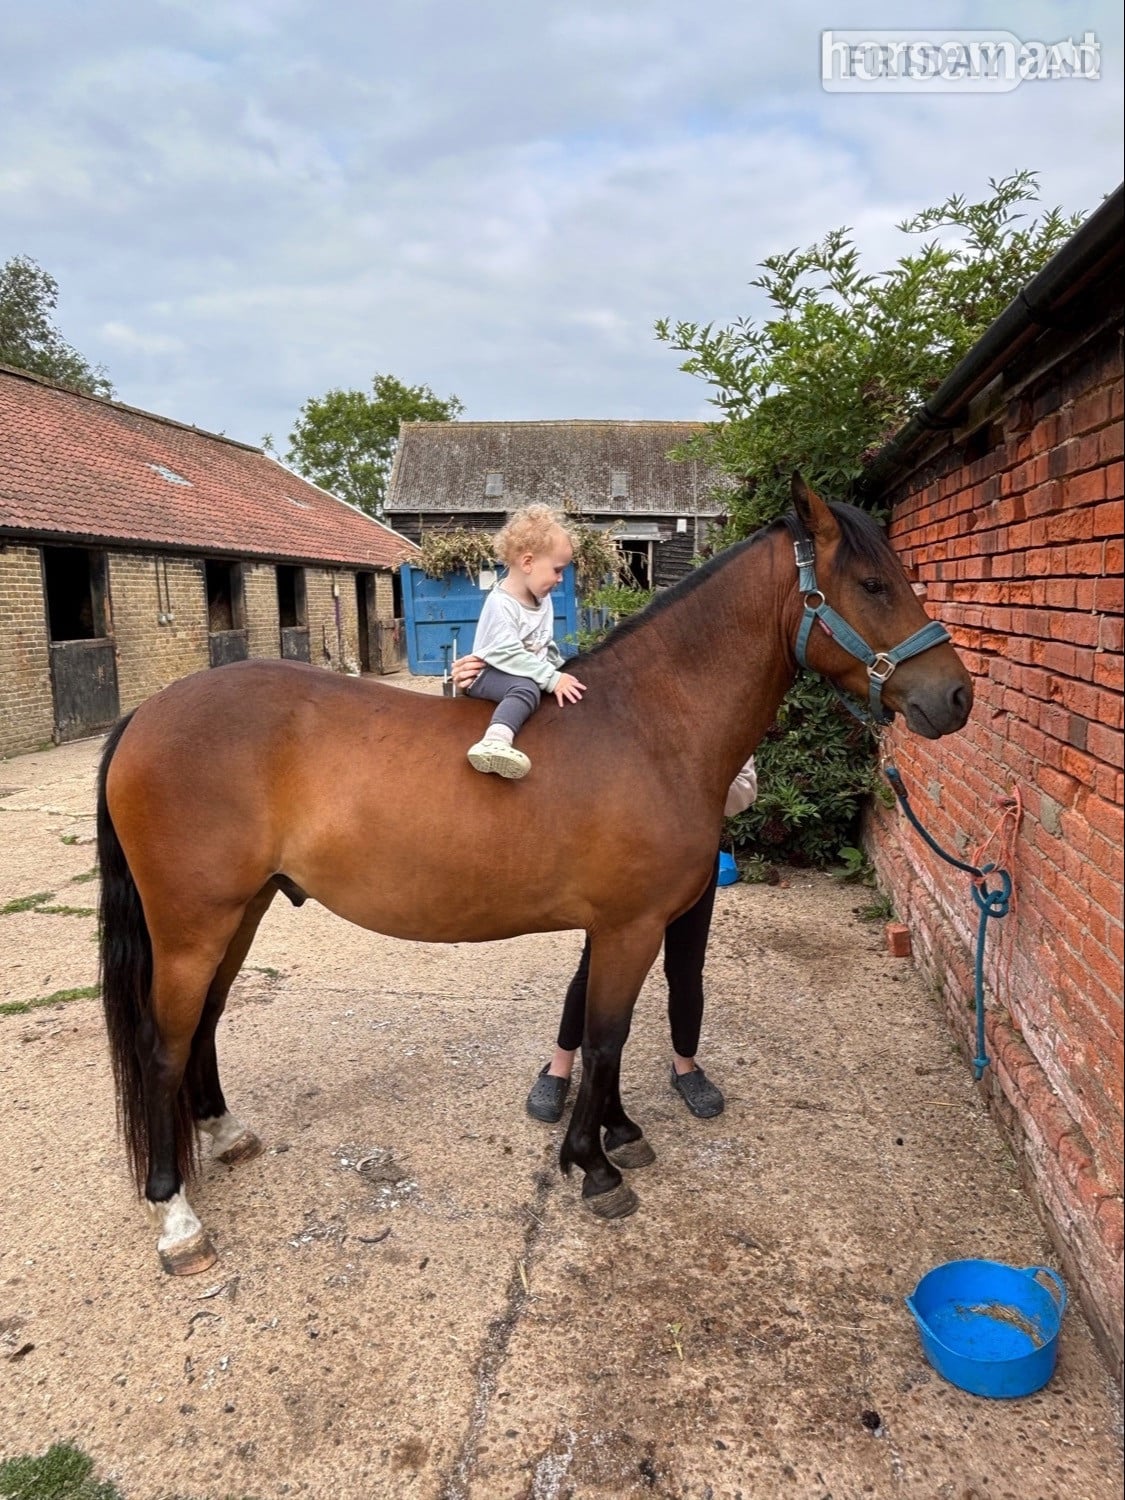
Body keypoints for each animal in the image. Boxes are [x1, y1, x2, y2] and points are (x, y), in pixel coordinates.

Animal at [96, 477, 972, 1274]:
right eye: (872, 585)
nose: (955, 697)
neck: (646, 726)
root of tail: (147, 713)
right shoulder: (628, 926)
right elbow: (606, 1034)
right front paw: (594, 1164)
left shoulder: (618, 926)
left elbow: (602, 1029)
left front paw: (620, 1133)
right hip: (193, 923)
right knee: (164, 1043)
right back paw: (177, 1215)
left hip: (239, 912)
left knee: (204, 1022)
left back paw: (223, 1133)